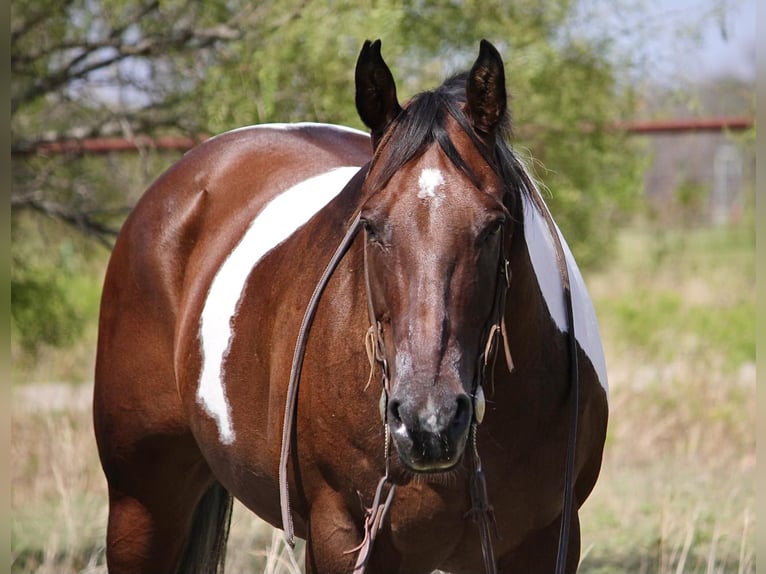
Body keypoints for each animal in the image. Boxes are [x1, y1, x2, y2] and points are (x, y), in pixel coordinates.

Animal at [96, 38, 608, 572]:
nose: (428, 422)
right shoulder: (342, 535)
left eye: (493, 225)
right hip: (141, 503)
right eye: (370, 224)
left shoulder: (547, 540)